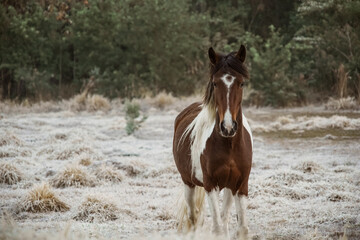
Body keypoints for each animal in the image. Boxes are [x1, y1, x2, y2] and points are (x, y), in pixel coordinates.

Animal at [172, 45, 252, 238]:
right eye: (215, 83)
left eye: (241, 83)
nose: (228, 127)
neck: (229, 146)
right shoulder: (210, 185)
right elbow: (216, 229)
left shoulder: (241, 185)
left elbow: (241, 228)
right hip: (188, 183)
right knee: (193, 217)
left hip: (229, 188)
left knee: (223, 219)